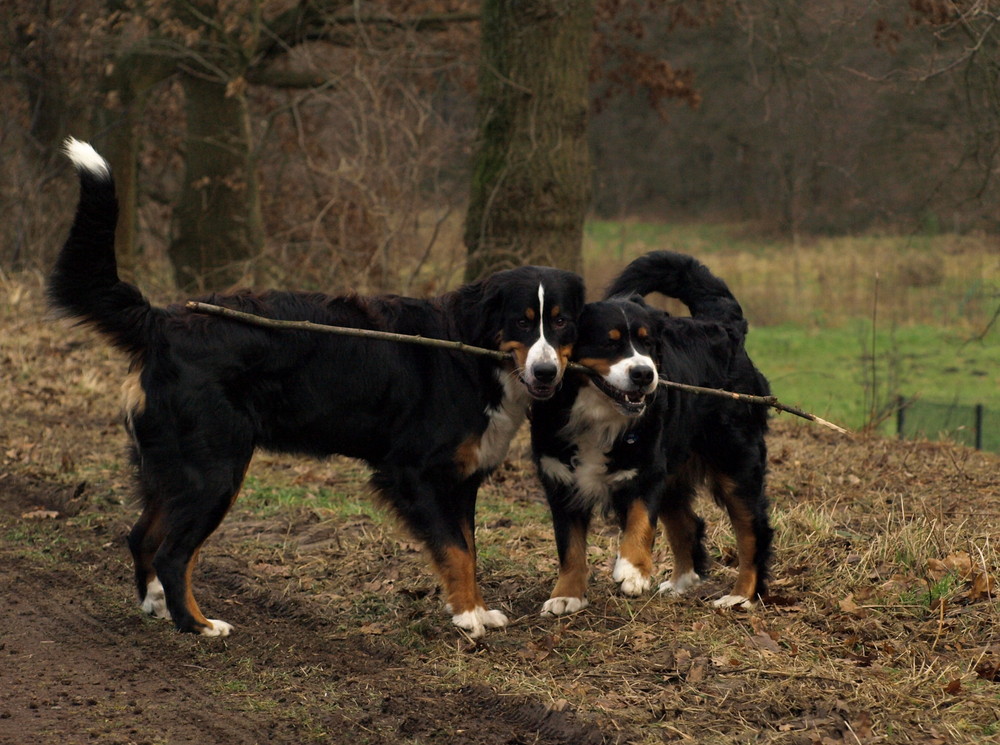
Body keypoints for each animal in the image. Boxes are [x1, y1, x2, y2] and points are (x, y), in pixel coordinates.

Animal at [52, 141, 584, 640]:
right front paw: (468, 616)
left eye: (561, 322)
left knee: (141, 536)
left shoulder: (460, 480)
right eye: (522, 321)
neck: (472, 351)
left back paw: (157, 606)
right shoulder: (414, 473)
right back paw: (199, 626)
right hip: (214, 472)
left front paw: (475, 608)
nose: (545, 373)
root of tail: (162, 321)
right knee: (172, 553)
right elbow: (455, 549)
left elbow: (469, 548)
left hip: (173, 470)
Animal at [532, 253, 772, 612]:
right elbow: (569, 545)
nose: (644, 374)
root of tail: (724, 326)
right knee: (688, 524)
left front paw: (632, 570)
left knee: (752, 530)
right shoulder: (559, 478)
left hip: (735, 464)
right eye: (610, 342)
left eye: (647, 343)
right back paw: (681, 582)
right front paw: (566, 595)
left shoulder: (646, 468)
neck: (598, 412)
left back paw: (741, 595)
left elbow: (641, 521)